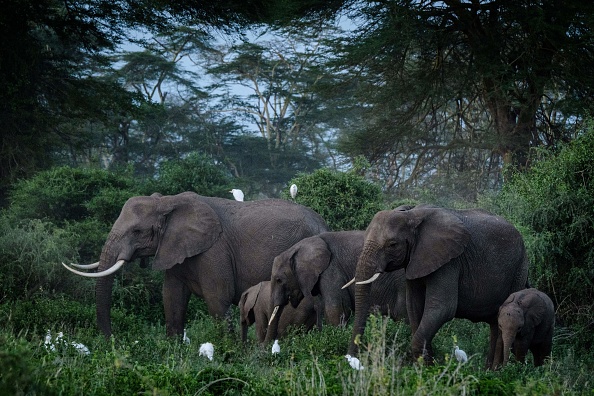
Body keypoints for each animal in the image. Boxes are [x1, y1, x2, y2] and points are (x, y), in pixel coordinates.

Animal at [61, 192, 326, 338]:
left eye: (137, 231)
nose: (111, 340)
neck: (167, 202)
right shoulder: (174, 250)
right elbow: (172, 299)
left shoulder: (214, 251)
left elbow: (217, 299)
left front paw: (228, 357)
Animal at [344, 206, 524, 366]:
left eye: (393, 245)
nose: (352, 359)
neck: (411, 214)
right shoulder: (415, 261)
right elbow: (414, 306)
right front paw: (426, 367)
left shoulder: (449, 261)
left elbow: (442, 308)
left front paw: (428, 369)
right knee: (495, 323)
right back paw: (490, 371)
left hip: (519, 269)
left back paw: (499, 372)